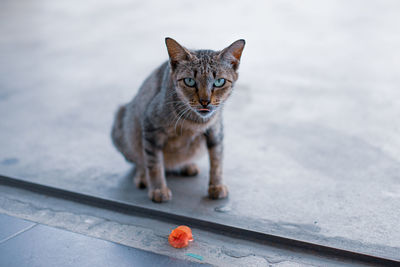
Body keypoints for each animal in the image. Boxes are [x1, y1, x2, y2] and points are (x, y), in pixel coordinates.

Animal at [111, 37, 245, 203]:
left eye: (219, 82)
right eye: (189, 81)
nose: (205, 101)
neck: (194, 122)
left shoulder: (215, 130)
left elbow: (217, 160)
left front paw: (217, 185)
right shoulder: (150, 127)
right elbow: (154, 163)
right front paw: (158, 189)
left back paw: (187, 165)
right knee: (140, 160)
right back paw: (143, 176)